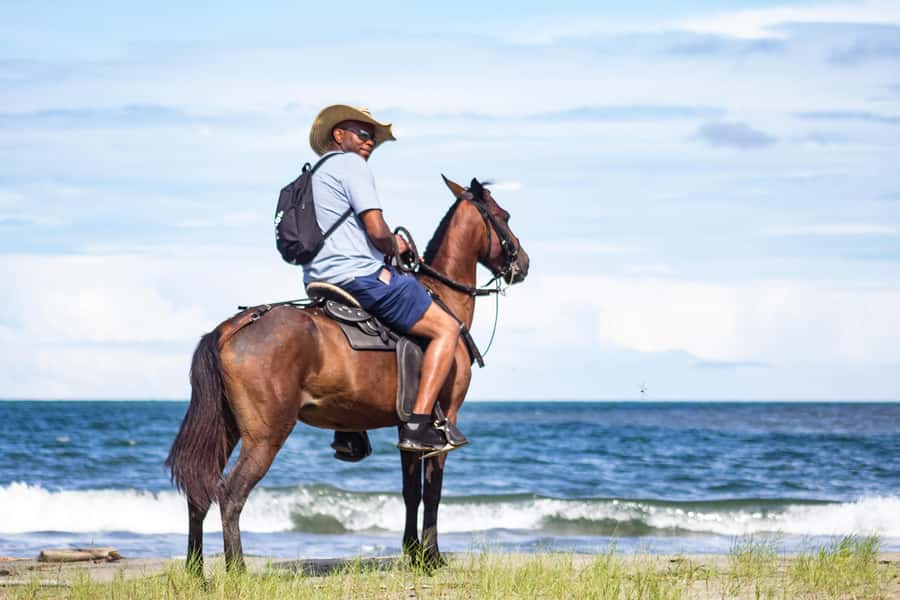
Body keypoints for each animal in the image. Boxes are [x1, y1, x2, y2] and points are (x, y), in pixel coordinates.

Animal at [165, 176, 530, 572]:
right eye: (504, 216)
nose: (524, 262)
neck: (443, 297)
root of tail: (231, 328)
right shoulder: (444, 420)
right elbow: (432, 491)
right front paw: (431, 557)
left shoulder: (409, 429)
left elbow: (411, 492)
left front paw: (413, 552)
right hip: (265, 435)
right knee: (231, 494)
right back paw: (238, 571)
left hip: (227, 428)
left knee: (200, 493)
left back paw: (196, 571)